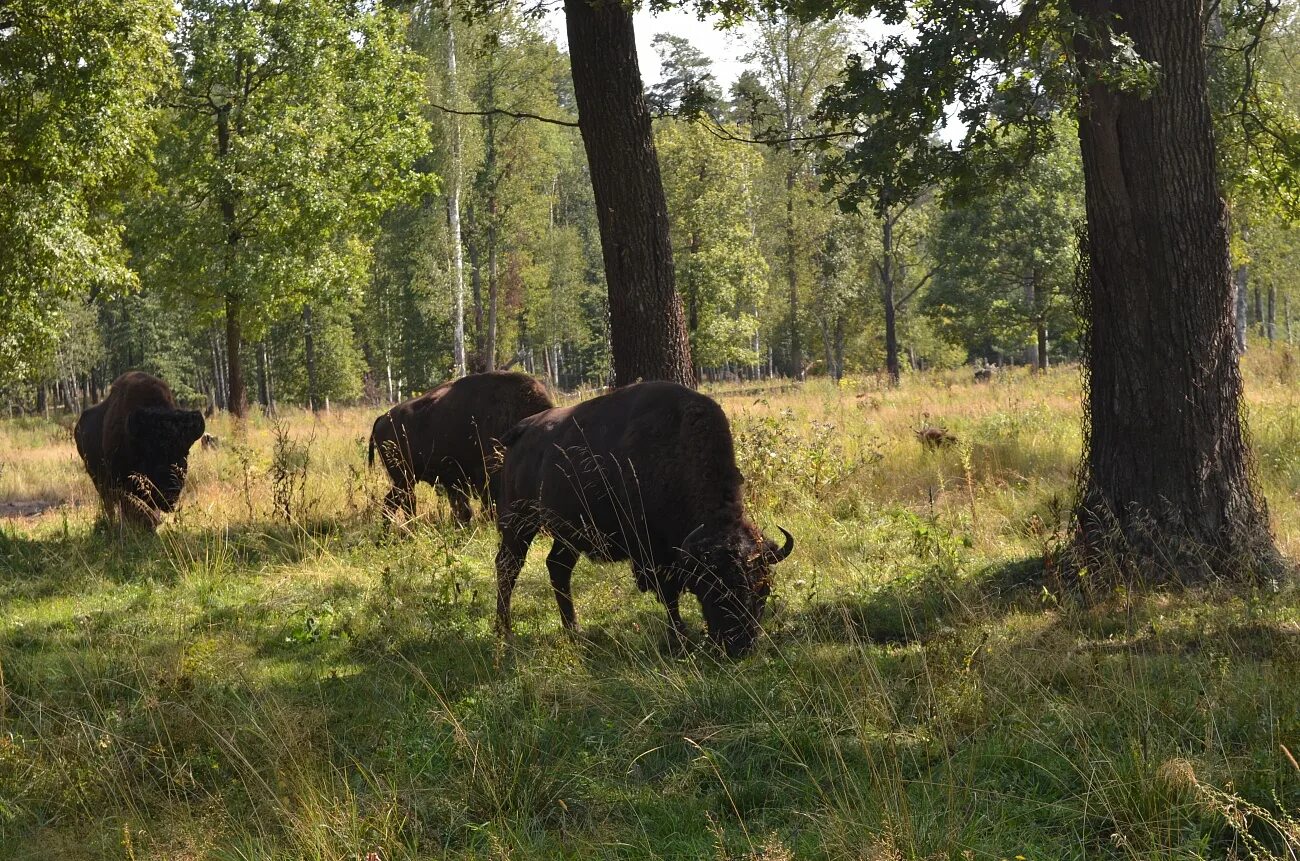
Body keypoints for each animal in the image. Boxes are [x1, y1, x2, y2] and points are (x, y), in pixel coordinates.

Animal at [488, 382, 785, 658]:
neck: (675, 451)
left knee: (557, 568)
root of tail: (522, 431)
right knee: (508, 567)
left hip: (568, 536)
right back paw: (505, 632)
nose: (741, 646)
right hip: (519, 522)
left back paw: (574, 631)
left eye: (762, 589)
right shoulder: (654, 555)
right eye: (715, 589)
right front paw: (680, 639)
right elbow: (669, 596)